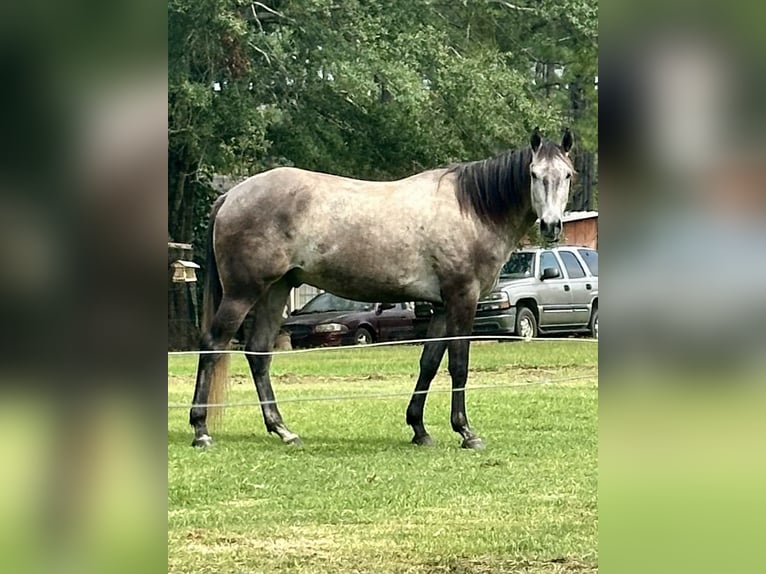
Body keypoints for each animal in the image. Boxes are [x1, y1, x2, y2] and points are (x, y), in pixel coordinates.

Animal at [189, 128, 575, 449]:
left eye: (567, 175)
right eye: (534, 175)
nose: (552, 226)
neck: (471, 211)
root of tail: (231, 195)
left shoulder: (441, 307)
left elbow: (429, 363)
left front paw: (419, 429)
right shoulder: (462, 299)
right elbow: (458, 364)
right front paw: (466, 432)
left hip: (276, 290)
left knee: (258, 353)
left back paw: (283, 430)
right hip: (243, 293)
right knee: (213, 344)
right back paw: (201, 430)